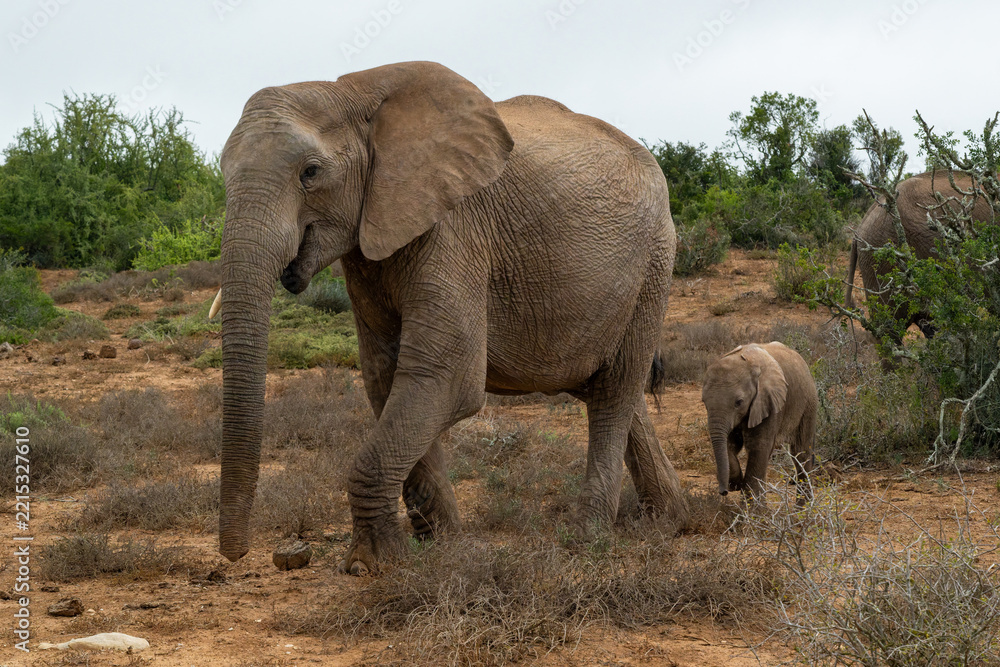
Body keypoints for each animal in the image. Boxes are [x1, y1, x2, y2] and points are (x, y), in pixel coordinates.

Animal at [214, 61, 689, 574]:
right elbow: (386, 378)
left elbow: (447, 378)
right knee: (615, 389)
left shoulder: (453, 229)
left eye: (311, 173)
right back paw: (669, 519)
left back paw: (587, 537)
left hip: (655, 262)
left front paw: (372, 565)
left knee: (614, 390)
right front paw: (441, 547)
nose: (236, 555)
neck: (353, 92)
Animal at [701, 342, 817, 501]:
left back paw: (803, 507)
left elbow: (758, 446)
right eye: (704, 402)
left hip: (808, 403)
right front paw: (737, 483)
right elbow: (730, 443)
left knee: (801, 451)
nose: (723, 492)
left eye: (739, 402)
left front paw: (752, 505)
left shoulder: (770, 402)